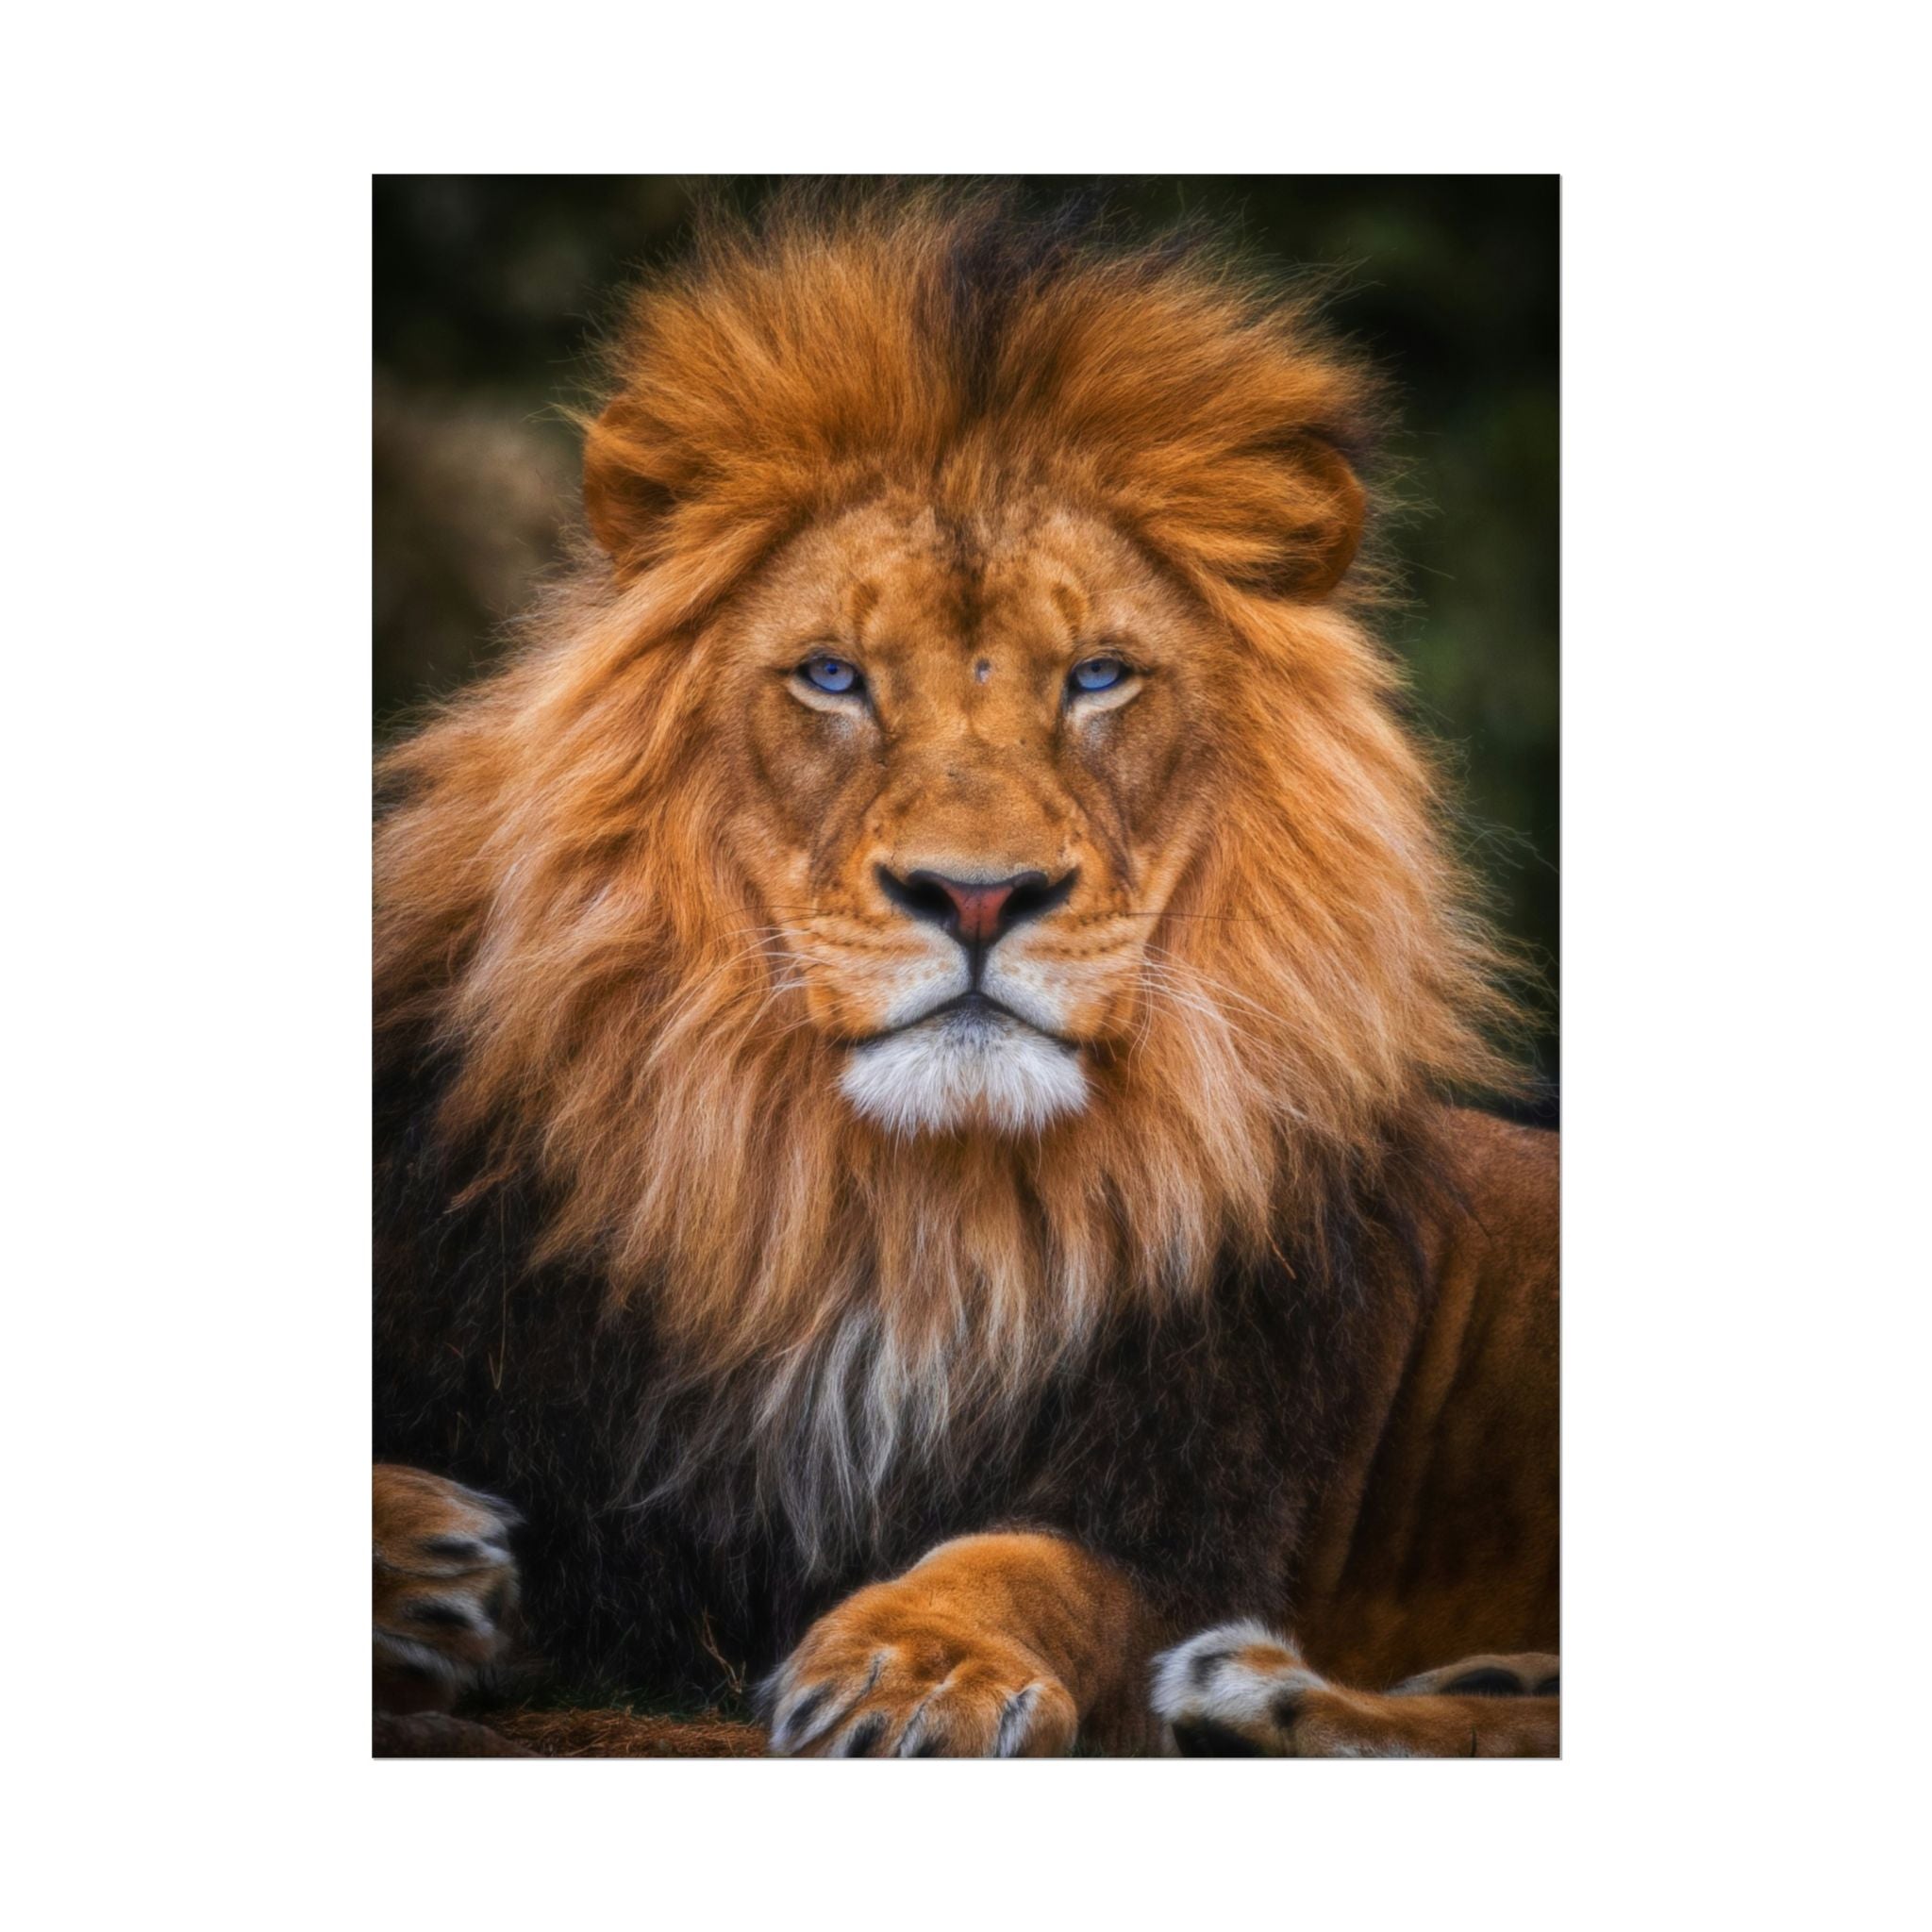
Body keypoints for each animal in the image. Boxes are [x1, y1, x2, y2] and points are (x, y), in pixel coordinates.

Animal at [373, 187, 1558, 1757]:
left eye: (1099, 677)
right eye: (832, 676)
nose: (979, 894)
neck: (898, 1218)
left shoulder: (1189, 1501)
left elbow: (1033, 1564)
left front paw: (916, 1665)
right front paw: (417, 1565)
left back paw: (1258, 1694)